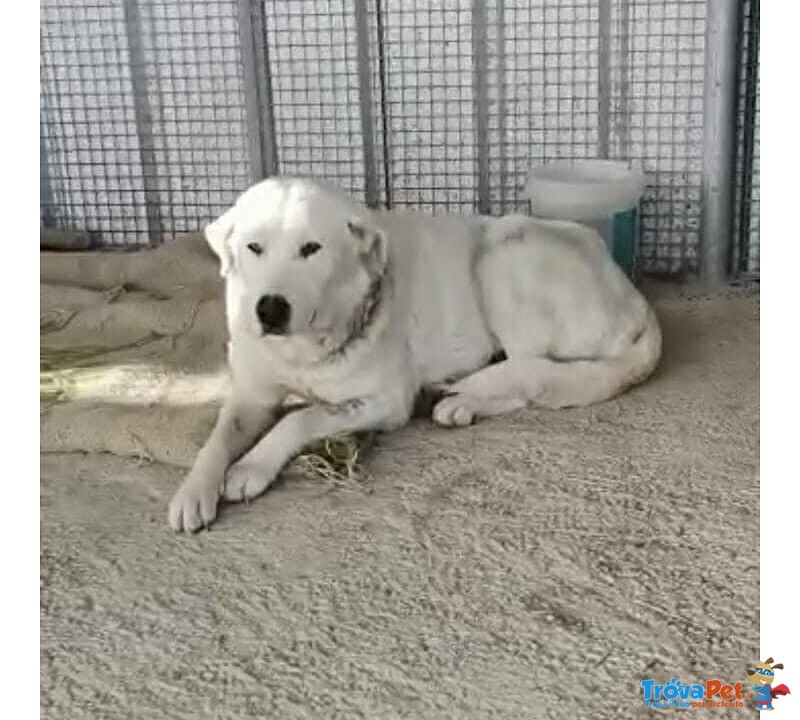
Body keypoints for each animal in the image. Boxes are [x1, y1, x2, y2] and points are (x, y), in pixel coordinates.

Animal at [166, 177, 660, 532]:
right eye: (253, 247)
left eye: (311, 249)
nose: (269, 308)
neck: (304, 348)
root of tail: (634, 296)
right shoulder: (251, 394)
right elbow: (218, 437)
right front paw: (193, 490)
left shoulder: (386, 402)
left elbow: (300, 418)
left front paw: (252, 464)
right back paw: (462, 404)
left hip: (503, 254)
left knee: (532, 371)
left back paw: (460, 391)